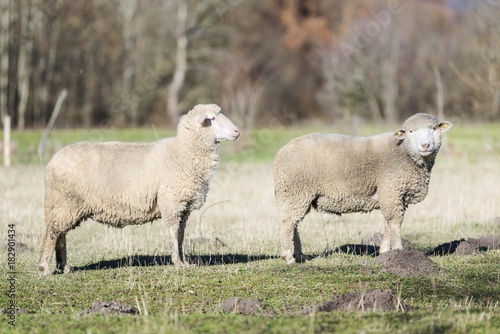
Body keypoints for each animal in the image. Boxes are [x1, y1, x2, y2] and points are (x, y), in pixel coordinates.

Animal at [38, 103, 240, 274]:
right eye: (211, 119)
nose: (237, 131)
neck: (182, 153)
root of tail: (52, 161)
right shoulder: (172, 203)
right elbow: (175, 233)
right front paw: (178, 262)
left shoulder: (183, 206)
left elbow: (181, 235)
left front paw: (184, 261)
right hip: (63, 202)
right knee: (52, 233)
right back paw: (45, 267)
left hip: (66, 206)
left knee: (61, 235)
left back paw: (64, 267)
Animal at [274, 112, 454, 264]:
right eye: (411, 131)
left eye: (434, 129)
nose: (426, 145)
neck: (404, 152)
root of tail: (280, 153)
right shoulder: (391, 190)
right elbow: (395, 222)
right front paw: (399, 252)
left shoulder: (395, 195)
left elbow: (388, 224)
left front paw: (385, 252)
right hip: (296, 190)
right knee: (287, 223)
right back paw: (288, 256)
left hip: (298, 195)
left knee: (293, 223)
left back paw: (299, 255)